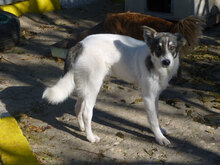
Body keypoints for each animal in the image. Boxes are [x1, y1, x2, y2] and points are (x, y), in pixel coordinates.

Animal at [42, 26, 186, 146]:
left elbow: (156, 115)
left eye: (172, 48)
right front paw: (159, 137)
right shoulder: (148, 97)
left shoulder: (155, 96)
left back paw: (81, 128)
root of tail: (80, 44)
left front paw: (160, 131)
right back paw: (90, 137)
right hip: (93, 87)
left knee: (78, 107)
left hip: (84, 86)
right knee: (87, 113)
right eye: (158, 48)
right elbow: (153, 120)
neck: (153, 61)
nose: (166, 62)